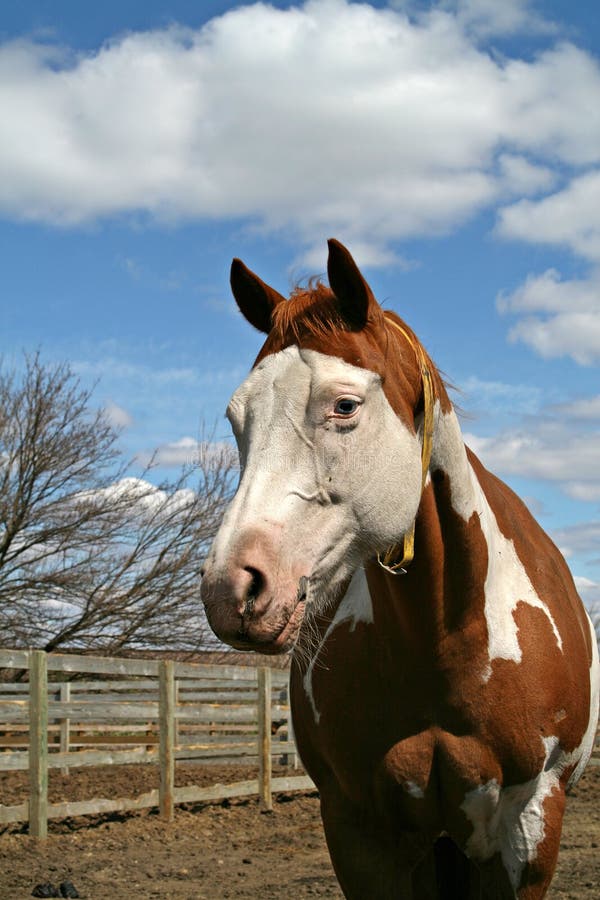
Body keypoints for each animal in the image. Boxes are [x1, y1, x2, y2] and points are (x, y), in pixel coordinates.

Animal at [201, 238, 599, 899]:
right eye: (238, 419)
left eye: (344, 405)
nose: (229, 591)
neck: (449, 642)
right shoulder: (359, 831)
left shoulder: (531, 826)